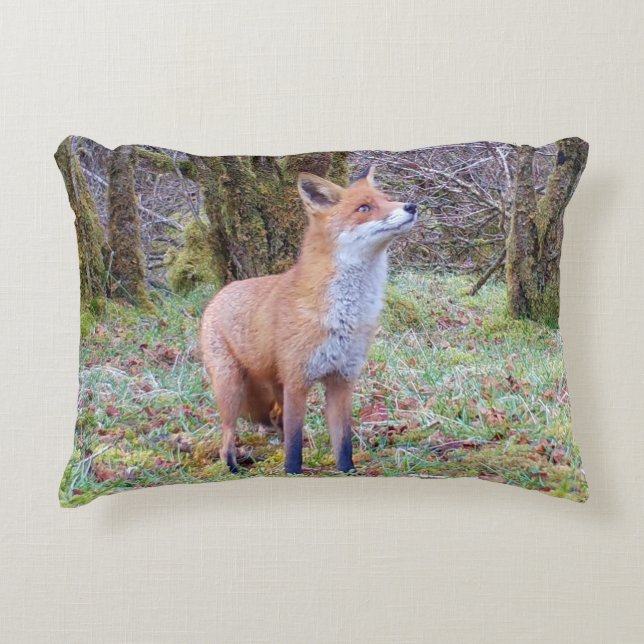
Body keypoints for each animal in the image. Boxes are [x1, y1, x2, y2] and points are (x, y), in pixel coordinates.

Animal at [200, 165, 417, 475]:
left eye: (388, 199)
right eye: (364, 208)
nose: (411, 206)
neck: (345, 316)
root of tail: (218, 295)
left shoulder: (342, 380)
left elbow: (343, 443)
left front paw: (347, 472)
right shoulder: (297, 380)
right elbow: (293, 448)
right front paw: (291, 472)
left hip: (274, 387)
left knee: (275, 418)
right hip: (231, 386)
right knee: (228, 434)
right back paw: (231, 466)